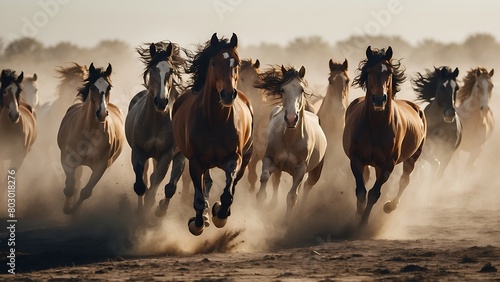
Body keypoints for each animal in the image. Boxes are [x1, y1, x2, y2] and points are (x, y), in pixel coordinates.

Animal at [57, 63, 124, 214]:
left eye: (109, 87)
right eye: (93, 87)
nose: (102, 113)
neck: (89, 131)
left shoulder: (101, 166)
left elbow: (86, 192)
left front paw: (72, 210)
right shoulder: (67, 158)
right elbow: (70, 187)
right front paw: (66, 207)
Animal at [126, 40, 187, 216]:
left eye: (171, 70)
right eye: (151, 70)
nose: (161, 101)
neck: (154, 123)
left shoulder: (166, 155)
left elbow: (156, 188)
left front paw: (155, 208)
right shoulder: (138, 151)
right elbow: (141, 185)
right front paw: (141, 212)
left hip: (176, 156)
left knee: (168, 184)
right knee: (147, 178)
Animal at [174, 33, 256, 236]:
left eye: (237, 63)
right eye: (213, 62)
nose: (228, 94)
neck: (214, 122)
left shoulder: (234, 158)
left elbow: (227, 193)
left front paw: (220, 214)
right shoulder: (195, 162)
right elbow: (198, 198)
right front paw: (197, 223)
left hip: (246, 159)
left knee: (232, 185)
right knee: (207, 184)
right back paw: (203, 216)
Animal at [342, 47, 428, 226]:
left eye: (389, 72)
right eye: (368, 72)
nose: (379, 99)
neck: (376, 126)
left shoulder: (388, 164)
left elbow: (374, 194)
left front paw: (363, 223)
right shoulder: (356, 158)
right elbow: (361, 191)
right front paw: (358, 215)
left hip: (413, 157)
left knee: (405, 180)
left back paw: (390, 206)